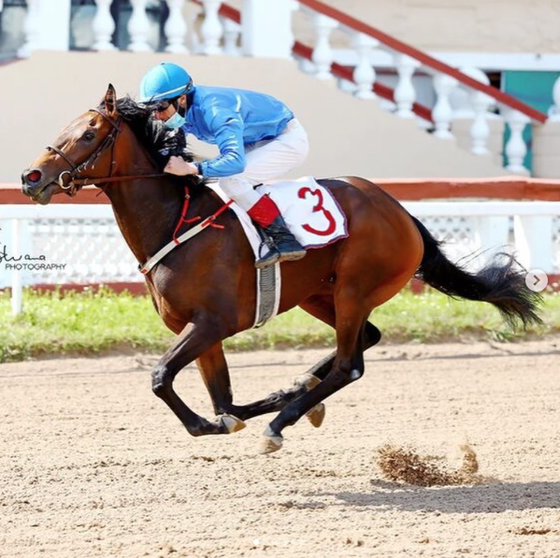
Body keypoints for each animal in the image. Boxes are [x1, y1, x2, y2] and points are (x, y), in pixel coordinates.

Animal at [19, 86, 540, 456]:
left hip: (354, 288)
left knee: (350, 363)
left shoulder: (210, 323)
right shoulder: (200, 329)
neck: (175, 221)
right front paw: (263, 401)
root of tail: (401, 213)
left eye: (89, 133)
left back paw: (280, 422)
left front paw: (213, 422)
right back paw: (300, 391)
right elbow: (225, 402)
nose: (30, 177)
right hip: (319, 294)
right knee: (365, 340)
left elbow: (162, 377)